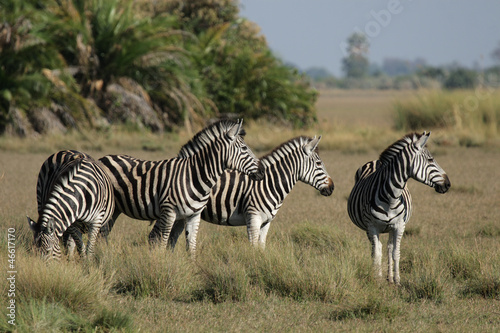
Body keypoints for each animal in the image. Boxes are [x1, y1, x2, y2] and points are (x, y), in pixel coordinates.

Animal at [95, 118, 264, 253]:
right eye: (244, 148)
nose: (262, 172)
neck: (194, 176)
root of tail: (104, 157)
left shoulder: (193, 216)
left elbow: (191, 246)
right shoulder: (168, 213)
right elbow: (163, 243)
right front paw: (160, 267)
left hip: (116, 209)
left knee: (103, 235)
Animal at [172, 135, 336, 249]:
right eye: (319, 164)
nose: (332, 187)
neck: (269, 184)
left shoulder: (266, 222)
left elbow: (261, 247)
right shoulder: (253, 219)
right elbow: (253, 247)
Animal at [348, 131, 450, 284]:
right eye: (431, 160)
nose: (448, 184)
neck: (391, 197)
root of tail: (375, 161)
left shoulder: (399, 225)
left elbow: (396, 252)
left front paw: (397, 280)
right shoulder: (372, 226)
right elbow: (376, 254)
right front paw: (377, 279)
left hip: (390, 227)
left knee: (389, 247)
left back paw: (389, 278)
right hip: (368, 228)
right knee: (375, 249)